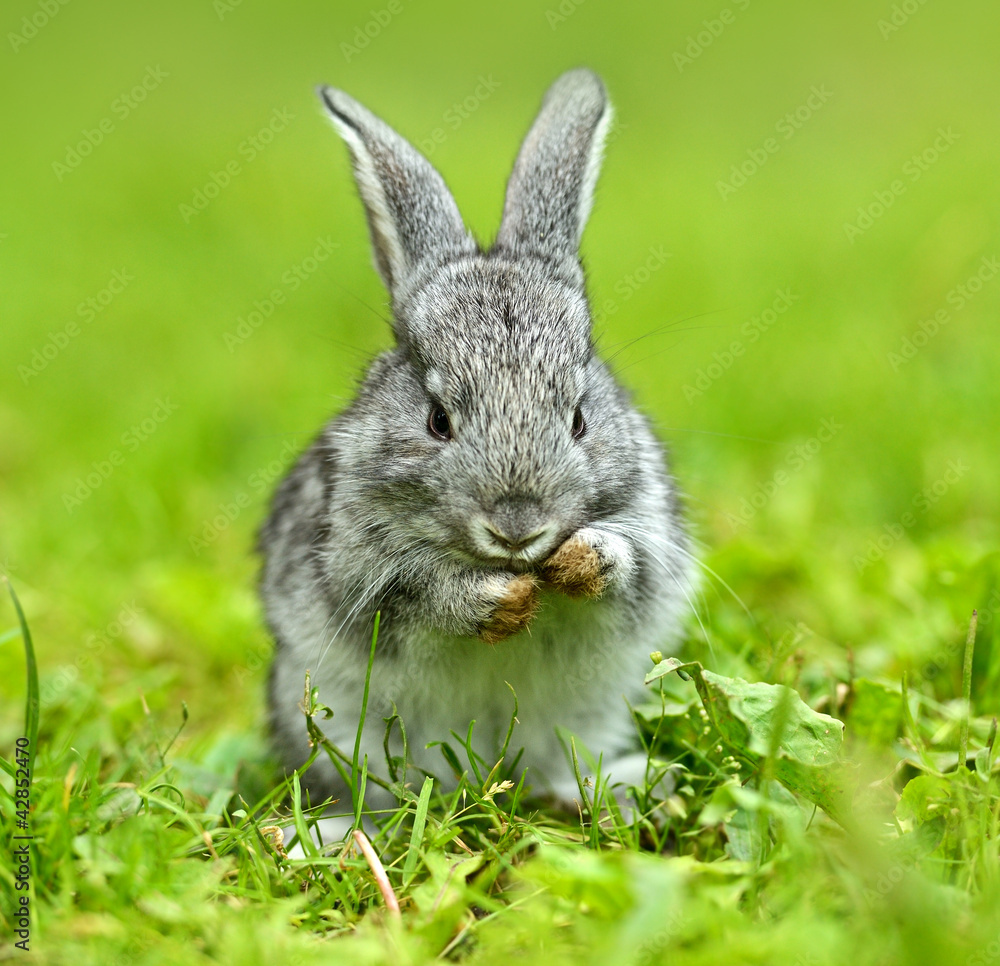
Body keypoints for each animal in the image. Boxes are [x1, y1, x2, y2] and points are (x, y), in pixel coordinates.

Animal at [258, 68, 694, 835]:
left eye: (579, 417)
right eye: (438, 420)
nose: (518, 527)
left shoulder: (652, 529)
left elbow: (632, 563)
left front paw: (582, 561)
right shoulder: (359, 568)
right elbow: (417, 594)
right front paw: (497, 602)